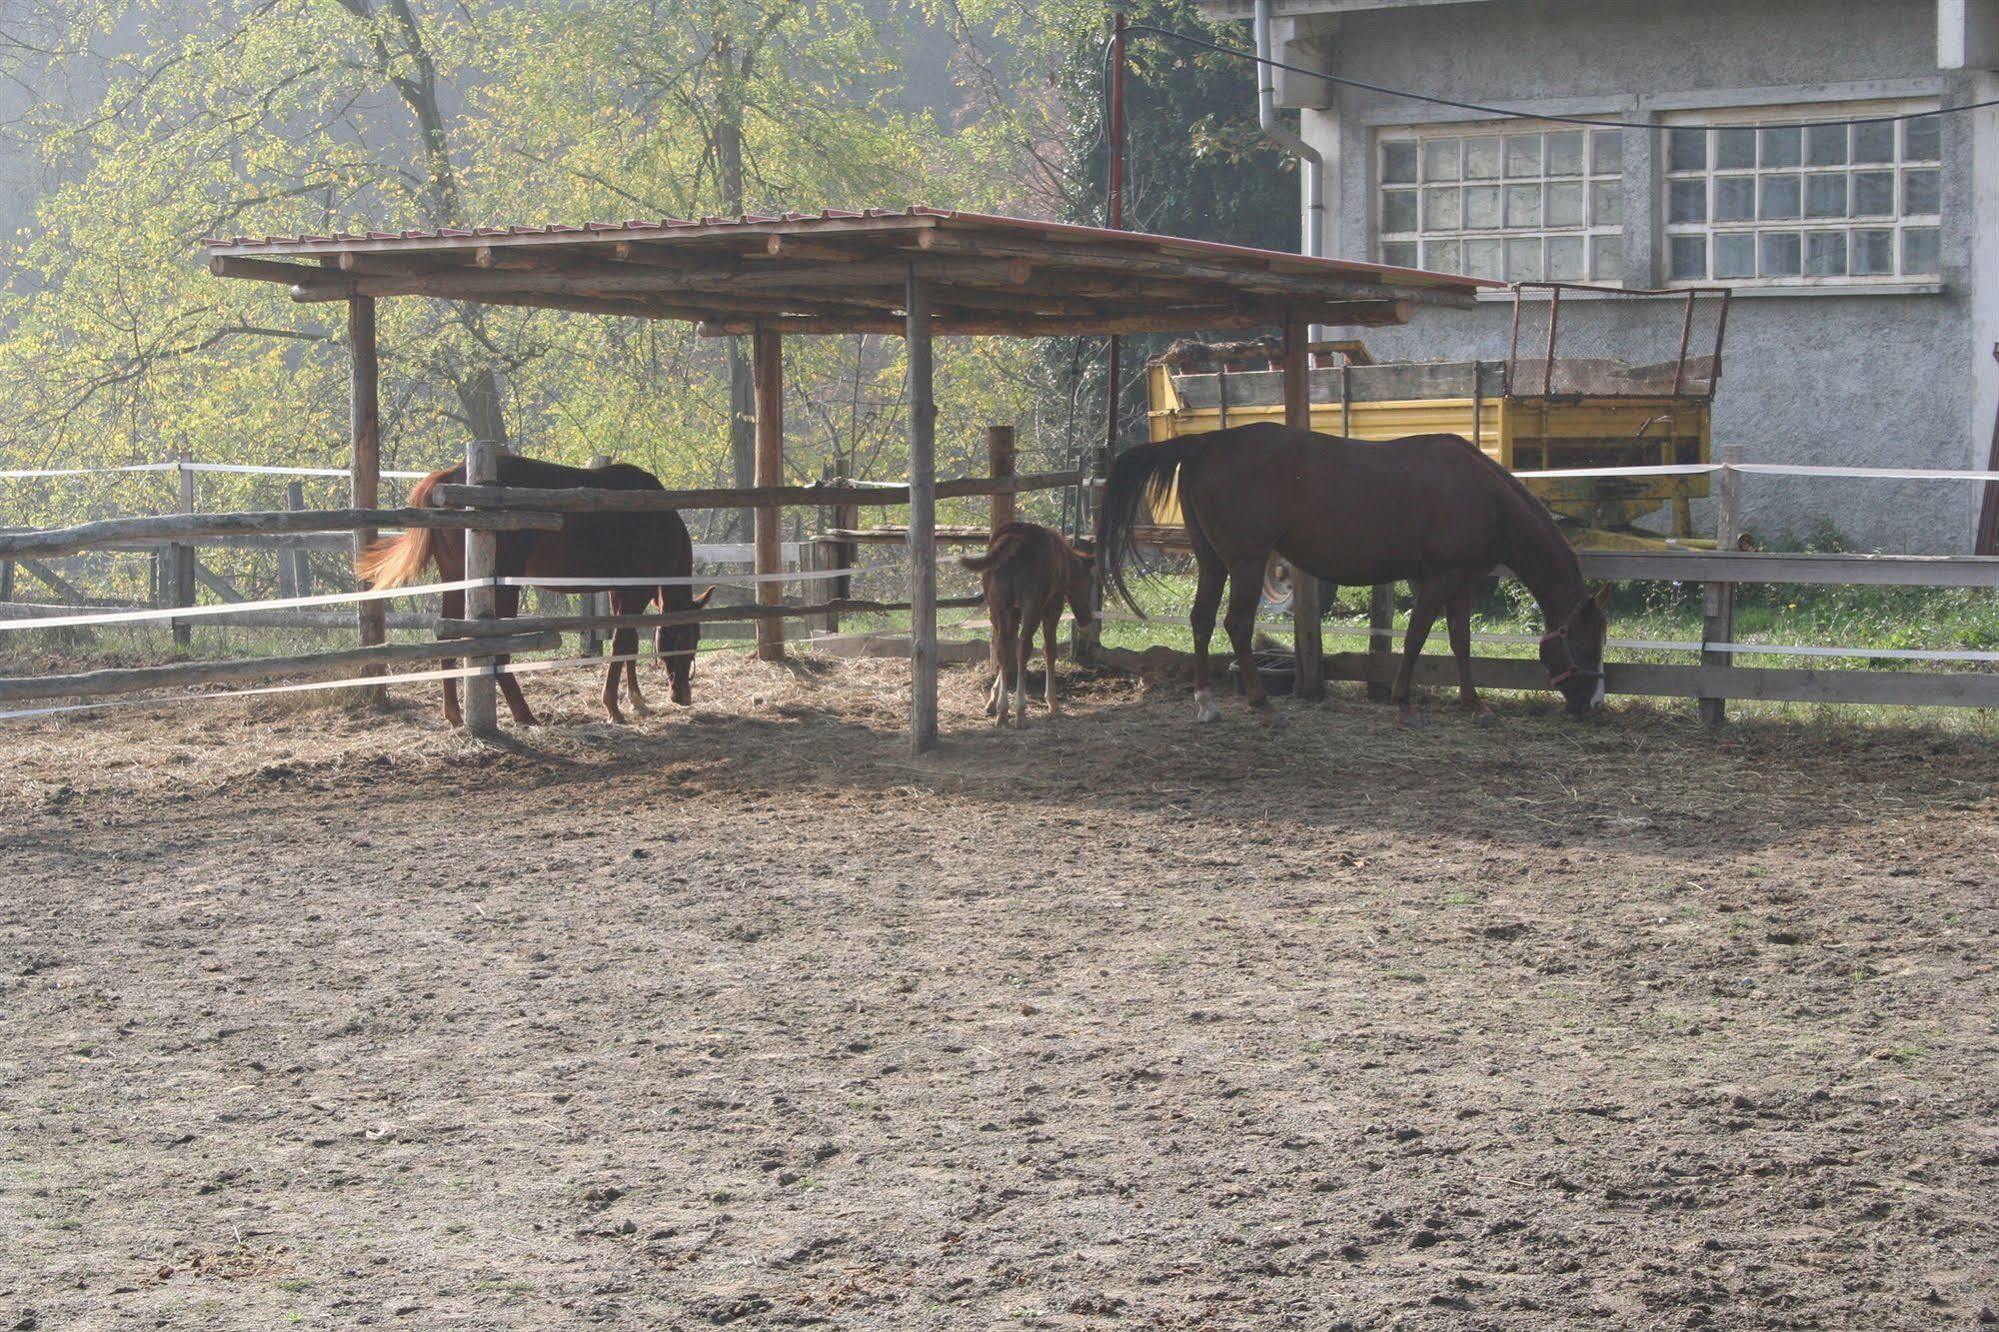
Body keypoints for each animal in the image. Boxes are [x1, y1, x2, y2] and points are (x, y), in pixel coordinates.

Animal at [363, 456, 715, 728]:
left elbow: (628, 642)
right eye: (683, 638)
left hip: (456, 583)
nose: (683, 695)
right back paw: (524, 714)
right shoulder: (634, 592)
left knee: (447, 639)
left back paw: (455, 715)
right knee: (498, 650)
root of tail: (446, 478)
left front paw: (636, 700)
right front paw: (613, 707)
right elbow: (623, 643)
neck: (658, 521)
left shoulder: (620, 592)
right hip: (502, 588)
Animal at [959, 520, 1103, 728]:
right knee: (1024, 647)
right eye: (1089, 581)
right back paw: (1020, 710)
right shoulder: (1052, 607)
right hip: (1032, 606)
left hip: (998, 606)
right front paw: (1052, 702)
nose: (1086, 618)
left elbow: (1005, 647)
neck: (1065, 561)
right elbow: (1049, 650)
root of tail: (1014, 537)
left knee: (1002, 647)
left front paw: (993, 700)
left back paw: (1003, 711)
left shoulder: (1013, 612)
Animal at [1087, 420, 1615, 720]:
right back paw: (1263, 704)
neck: (1482, 495)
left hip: (1213, 560)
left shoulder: (1460, 582)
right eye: (1586, 645)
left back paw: (1205, 702)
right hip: (1247, 561)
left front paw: (1475, 704)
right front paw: (1403, 702)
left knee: (1200, 621)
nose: (1594, 706)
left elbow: (1461, 641)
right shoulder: (1438, 579)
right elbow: (1416, 638)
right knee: (1235, 624)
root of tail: (1206, 443)